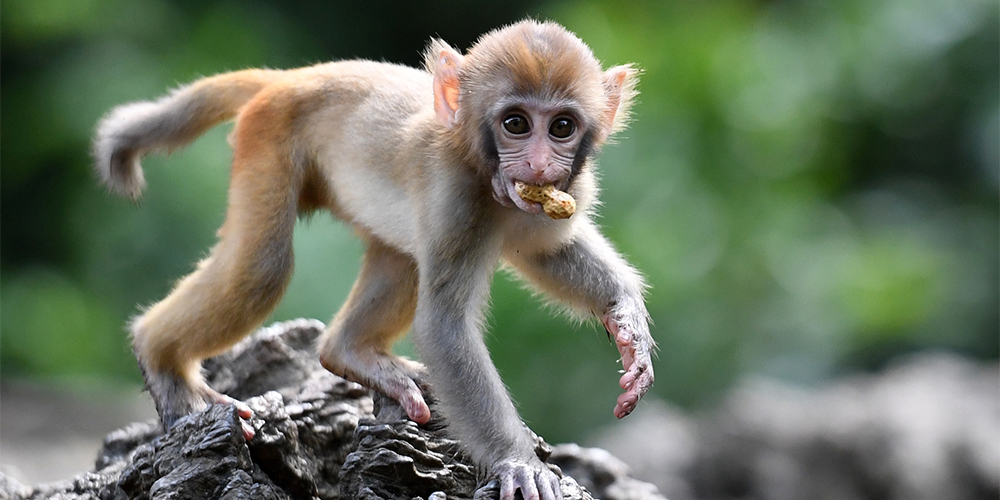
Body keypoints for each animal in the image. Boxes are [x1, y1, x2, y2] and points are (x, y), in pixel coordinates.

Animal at [94, 20, 656, 500]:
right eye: (516, 123)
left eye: (561, 127)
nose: (538, 164)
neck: (484, 172)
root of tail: (293, 76)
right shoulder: (456, 198)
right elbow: (445, 327)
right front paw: (517, 463)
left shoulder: (562, 194)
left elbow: (549, 252)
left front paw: (626, 320)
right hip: (268, 140)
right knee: (261, 269)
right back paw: (161, 361)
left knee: (400, 256)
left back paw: (351, 352)